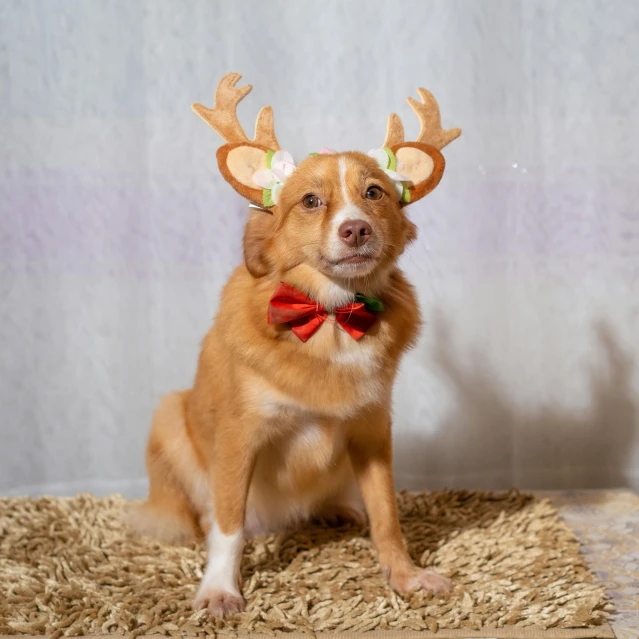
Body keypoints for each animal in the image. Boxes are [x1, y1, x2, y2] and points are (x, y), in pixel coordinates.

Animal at [130, 72, 460, 616]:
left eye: (374, 193)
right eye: (310, 201)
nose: (356, 229)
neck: (330, 319)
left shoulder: (373, 433)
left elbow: (387, 515)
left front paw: (404, 575)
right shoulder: (240, 436)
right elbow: (229, 525)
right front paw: (220, 589)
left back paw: (333, 510)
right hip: (169, 415)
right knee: (201, 514)